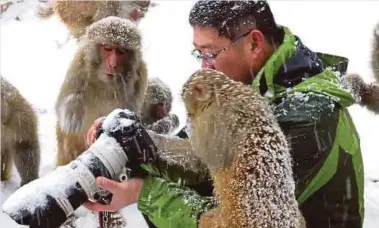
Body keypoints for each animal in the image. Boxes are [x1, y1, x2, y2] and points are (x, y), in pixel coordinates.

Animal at [56, 16, 148, 166]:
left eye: (121, 52)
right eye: (107, 48)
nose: (113, 64)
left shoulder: (141, 73)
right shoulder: (79, 65)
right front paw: (73, 111)